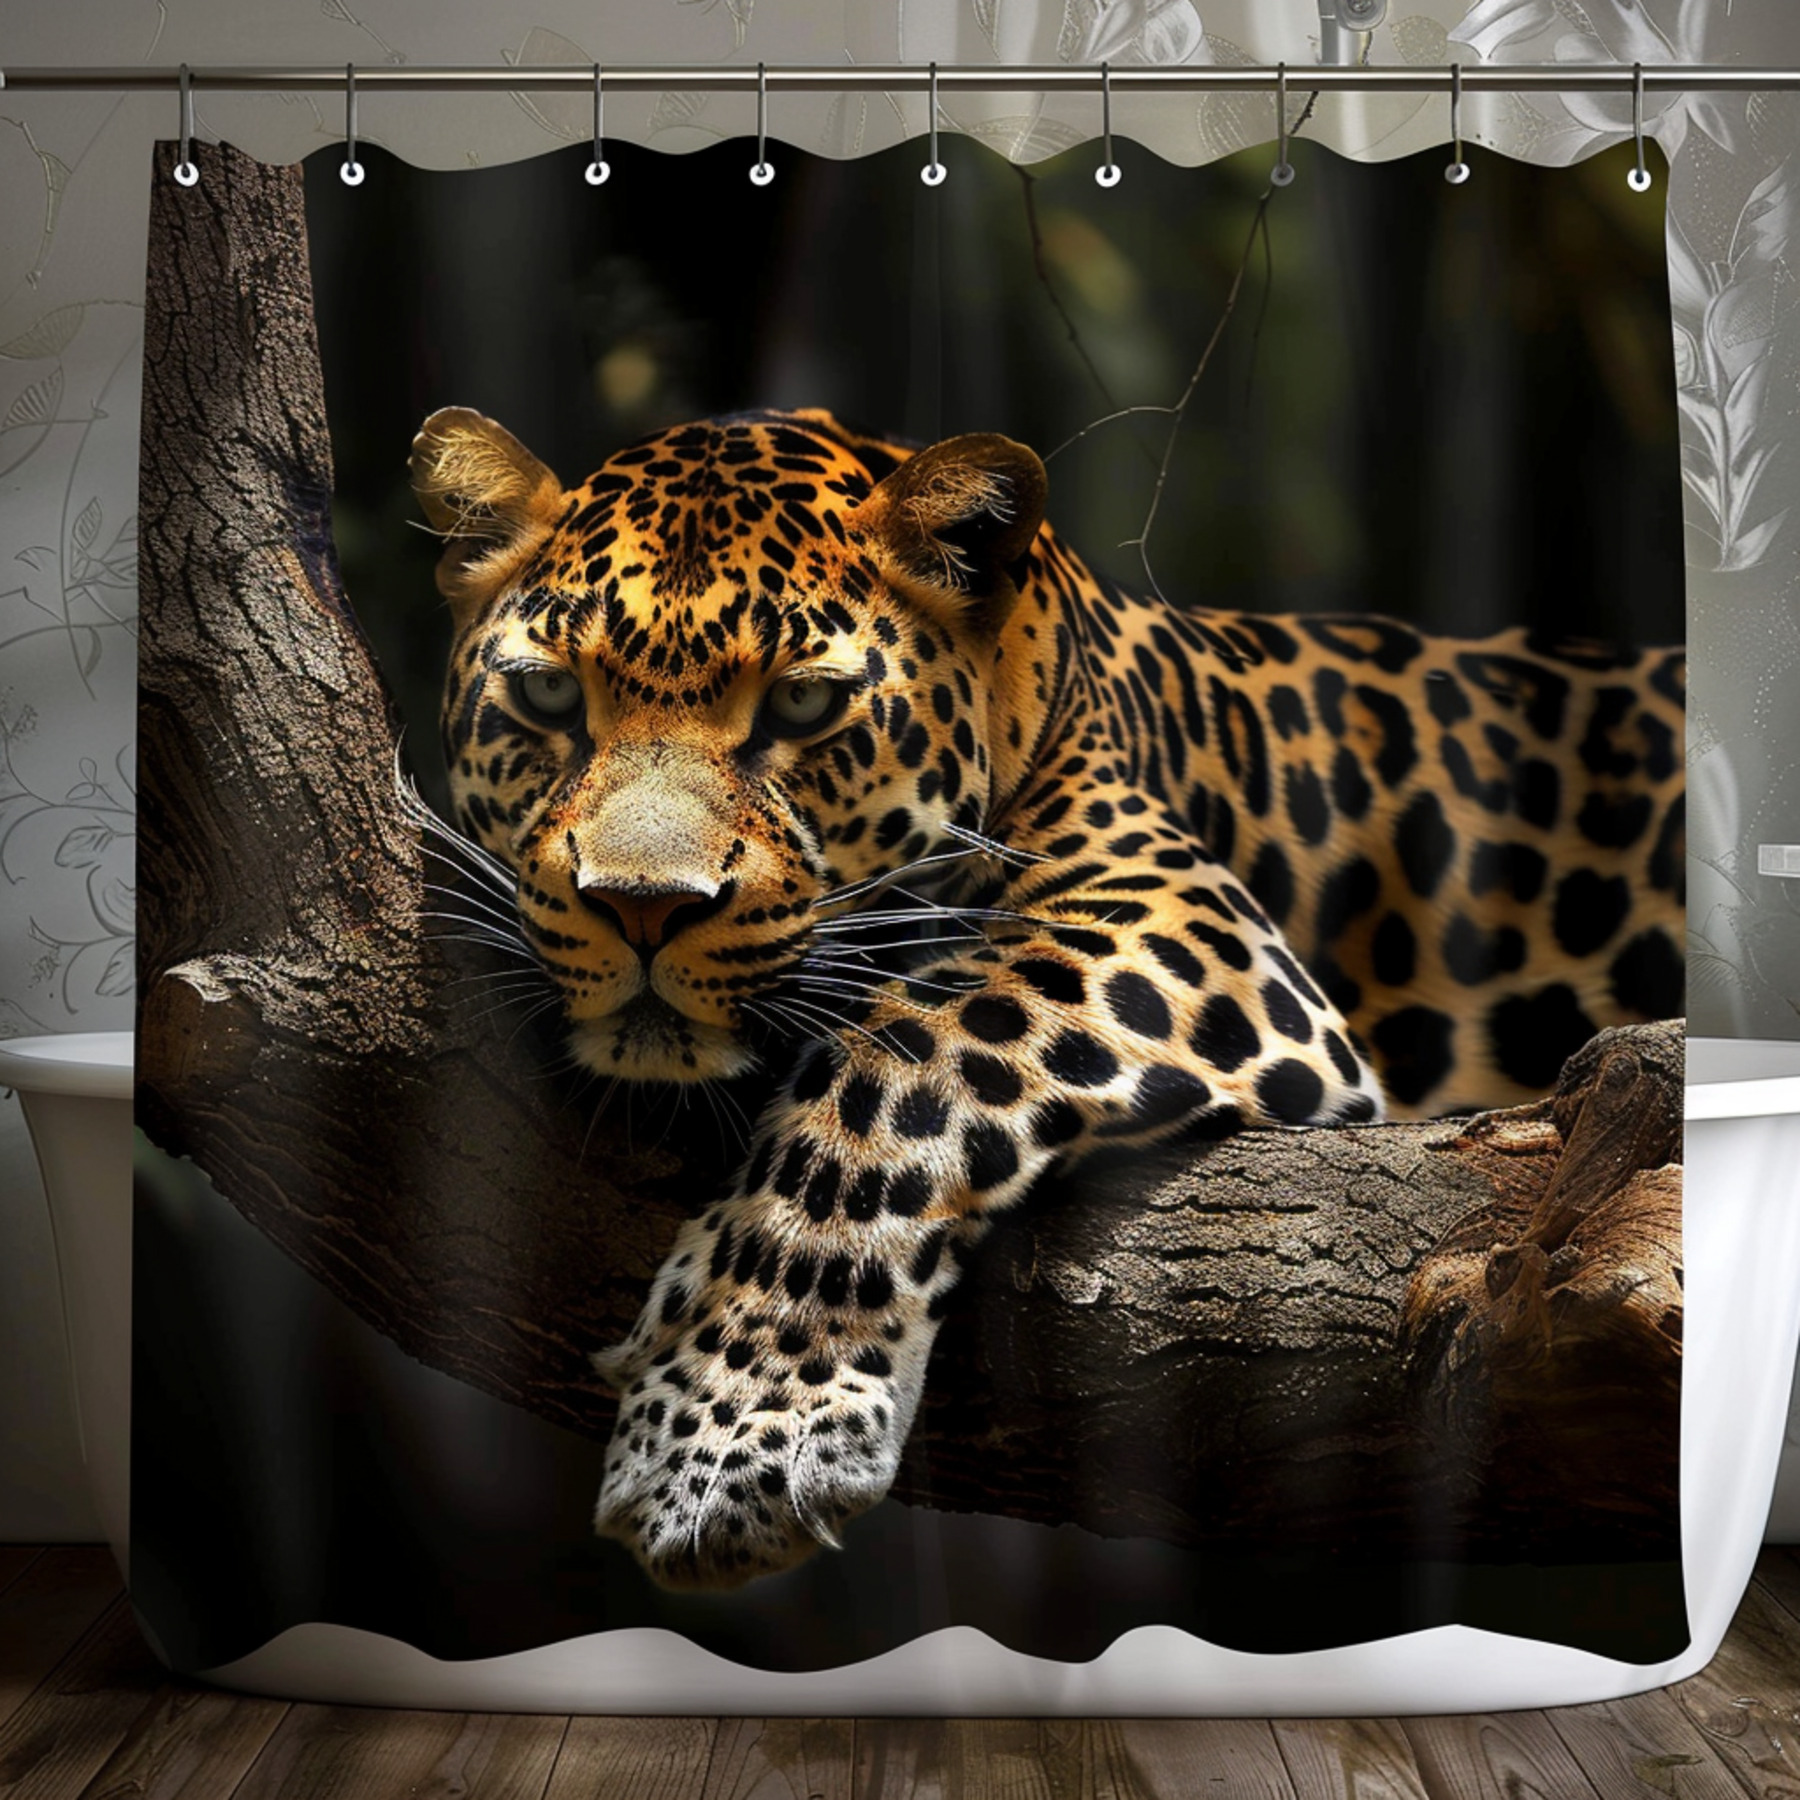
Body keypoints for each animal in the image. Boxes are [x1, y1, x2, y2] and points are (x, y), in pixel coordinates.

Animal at [409, 404, 1685, 1590]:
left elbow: (901, 1059)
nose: (641, 906)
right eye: (547, 698)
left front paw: (729, 1434)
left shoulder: (1188, 929)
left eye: (804, 709)